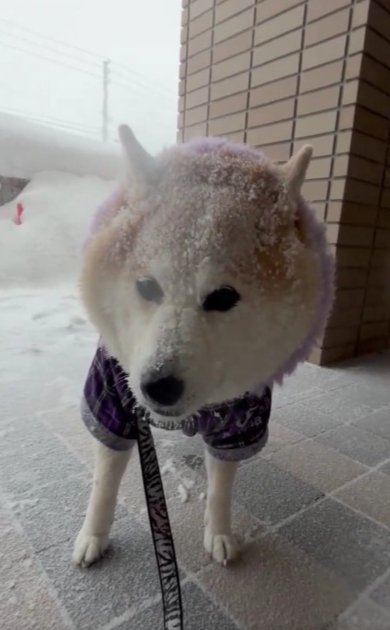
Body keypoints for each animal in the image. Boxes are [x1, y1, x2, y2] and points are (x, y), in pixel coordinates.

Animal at [72, 126, 332, 572]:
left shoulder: (240, 417)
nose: (158, 386)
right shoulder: (112, 396)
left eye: (223, 297)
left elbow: (222, 485)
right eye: (147, 287)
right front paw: (93, 536)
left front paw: (220, 534)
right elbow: (104, 481)